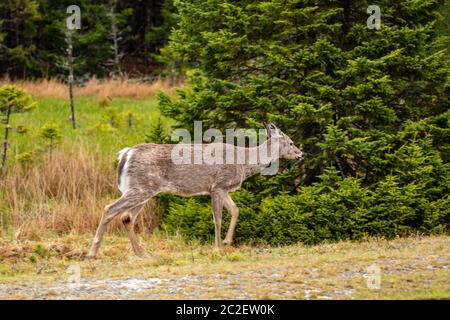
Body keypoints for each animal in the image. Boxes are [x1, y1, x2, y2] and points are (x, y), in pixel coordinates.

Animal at [87, 122, 302, 258]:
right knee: (110, 208)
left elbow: (235, 210)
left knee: (127, 218)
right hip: (139, 188)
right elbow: (217, 218)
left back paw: (141, 253)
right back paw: (92, 252)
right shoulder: (218, 185)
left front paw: (227, 242)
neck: (244, 162)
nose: (301, 154)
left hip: (143, 190)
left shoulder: (221, 189)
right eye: (291, 142)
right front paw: (218, 247)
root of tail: (125, 154)